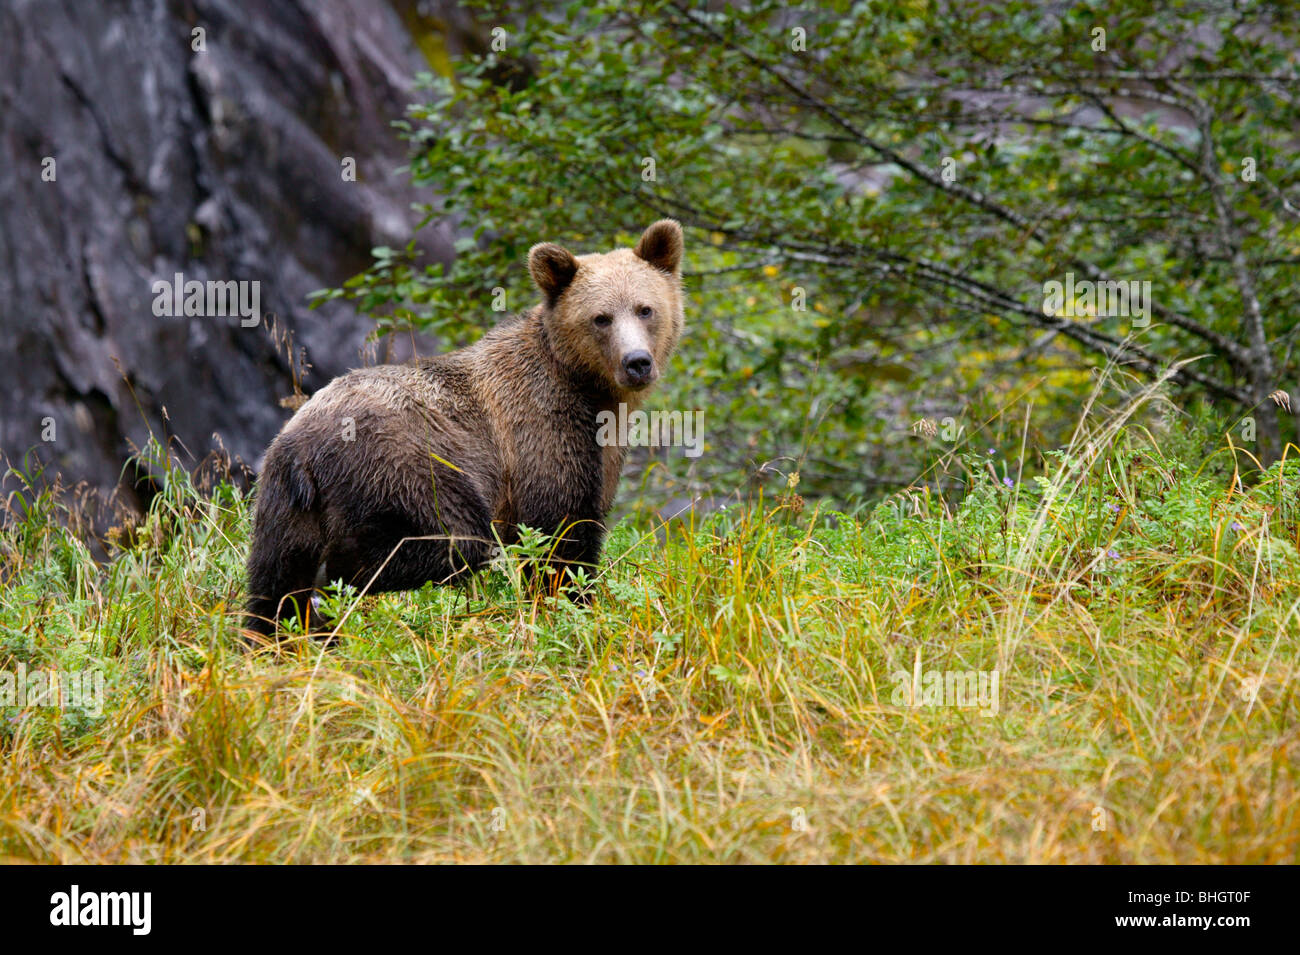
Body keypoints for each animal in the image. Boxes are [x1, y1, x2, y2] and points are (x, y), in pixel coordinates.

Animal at [245, 222, 691, 641]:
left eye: (645, 309)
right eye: (601, 317)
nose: (637, 362)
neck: (589, 390)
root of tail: (301, 450)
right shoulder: (542, 433)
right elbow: (559, 537)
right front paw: (575, 604)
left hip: (284, 503)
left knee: (274, 581)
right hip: (408, 464)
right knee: (455, 539)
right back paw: (337, 583)